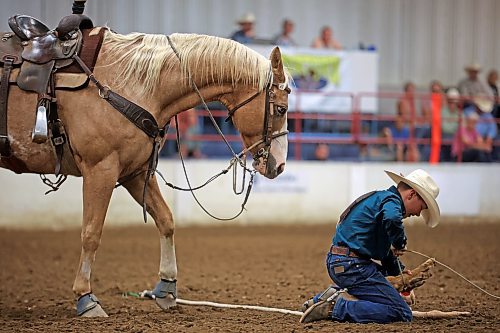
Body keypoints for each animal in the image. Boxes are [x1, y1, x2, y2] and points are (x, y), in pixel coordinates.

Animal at [0, 30, 292, 316]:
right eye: (281, 109)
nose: (279, 165)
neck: (133, 85)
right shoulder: (101, 169)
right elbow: (91, 233)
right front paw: (86, 298)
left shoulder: (136, 172)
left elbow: (166, 220)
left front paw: (166, 288)